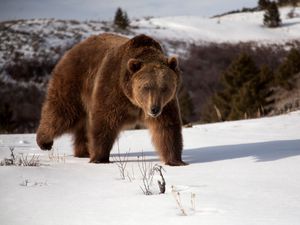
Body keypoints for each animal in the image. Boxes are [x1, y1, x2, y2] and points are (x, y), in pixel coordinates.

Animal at [36, 33, 186, 167]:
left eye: (164, 87)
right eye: (146, 86)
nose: (154, 109)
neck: (134, 102)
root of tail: (74, 48)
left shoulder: (167, 104)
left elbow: (167, 128)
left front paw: (175, 161)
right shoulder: (113, 90)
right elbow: (105, 122)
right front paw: (100, 158)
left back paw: (83, 152)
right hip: (74, 81)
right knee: (62, 112)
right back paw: (44, 142)